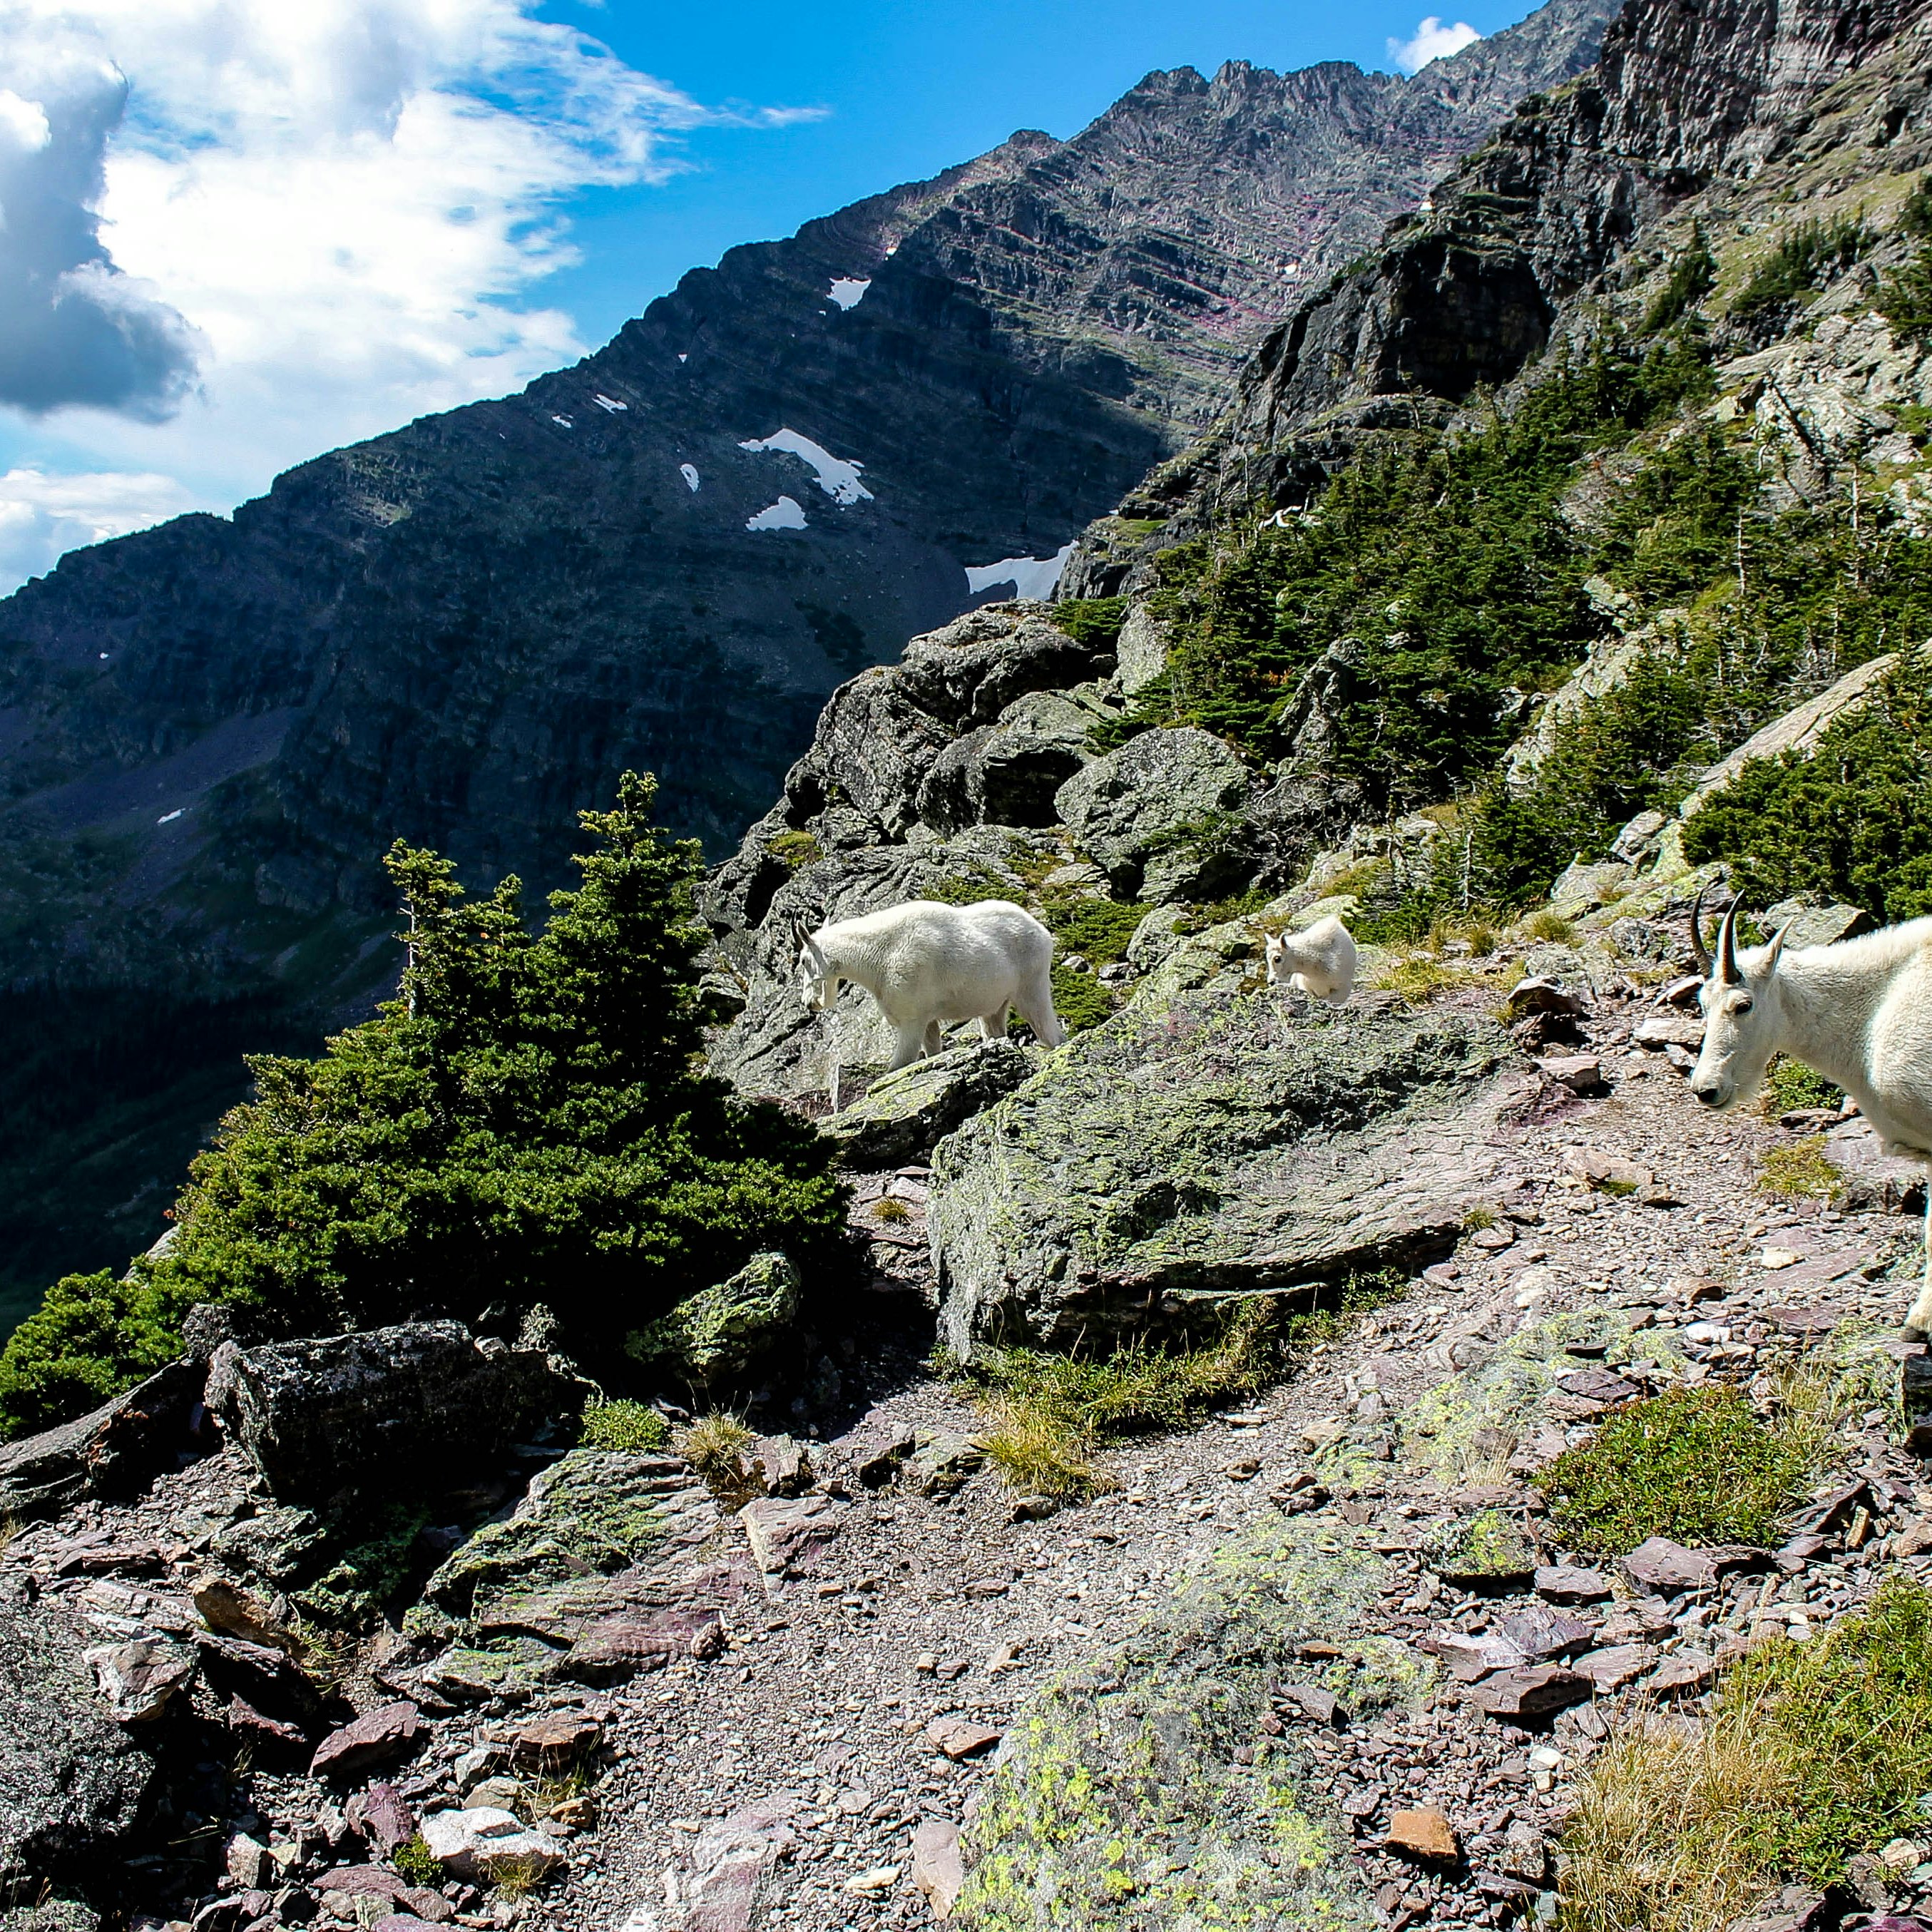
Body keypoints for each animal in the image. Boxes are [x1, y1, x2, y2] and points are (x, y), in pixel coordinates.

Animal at [794, 899, 1065, 1073]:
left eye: (804, 960)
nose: (809, 1003)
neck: (877, 957)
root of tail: (1044, 933)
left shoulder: (912, 1017)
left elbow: (898, 1066)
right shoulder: (928, 1020)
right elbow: (932, 1050)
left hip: (1032, 985)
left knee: (1050, 1030)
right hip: (996, 1004)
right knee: (995, 1026)